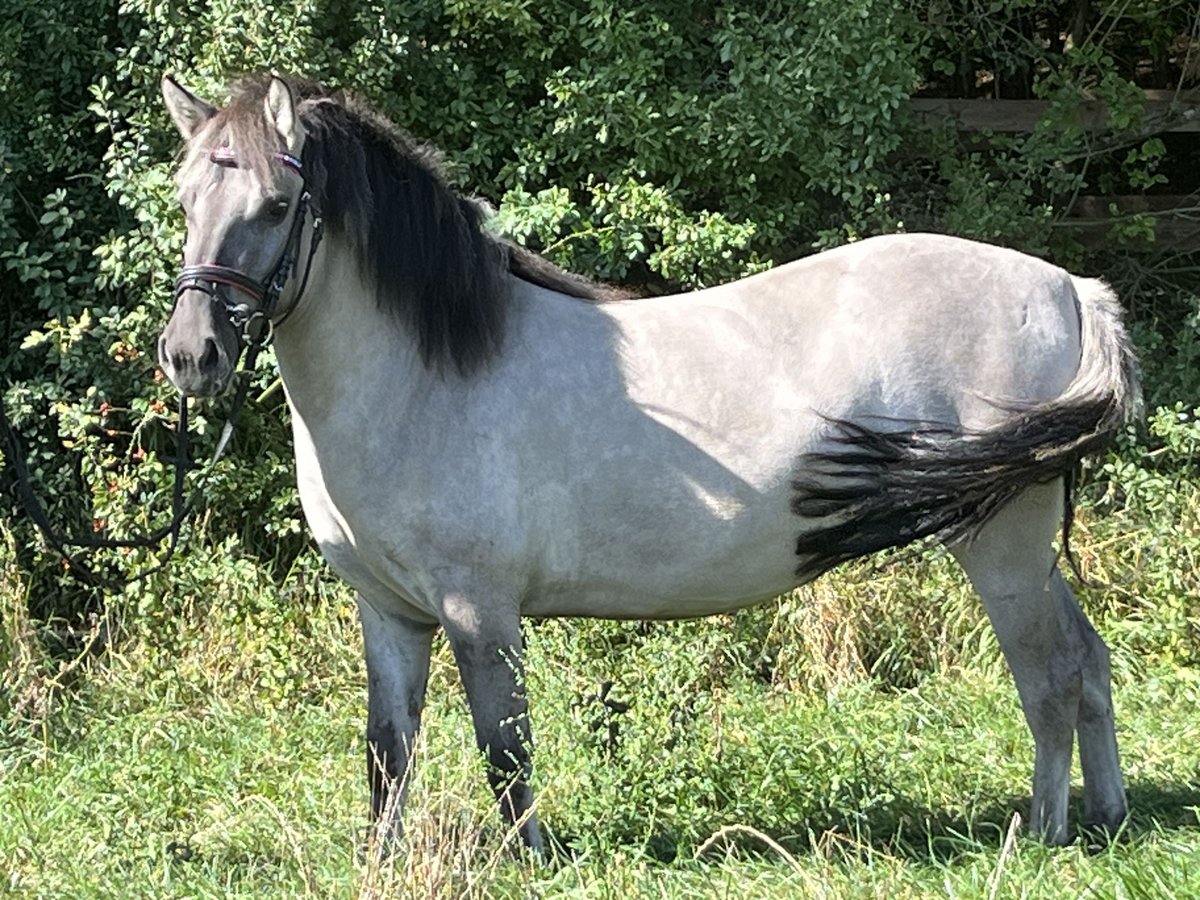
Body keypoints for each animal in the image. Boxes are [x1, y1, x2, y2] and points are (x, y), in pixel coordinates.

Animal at [157, 72, 1132, 854]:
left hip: (1004, 546)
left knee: (1049, 675)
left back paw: (1044, 835)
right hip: (1028, 549)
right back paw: (1109, 817)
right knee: (1088, 661)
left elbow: (505, 749)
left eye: (274, 207)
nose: (190, 354)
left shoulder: (480, 611)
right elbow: (388, 753)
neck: (425, 378)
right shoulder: (390, 615)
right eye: (184, 201)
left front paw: (531, 863)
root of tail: (1068, 289)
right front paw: (382, 865)